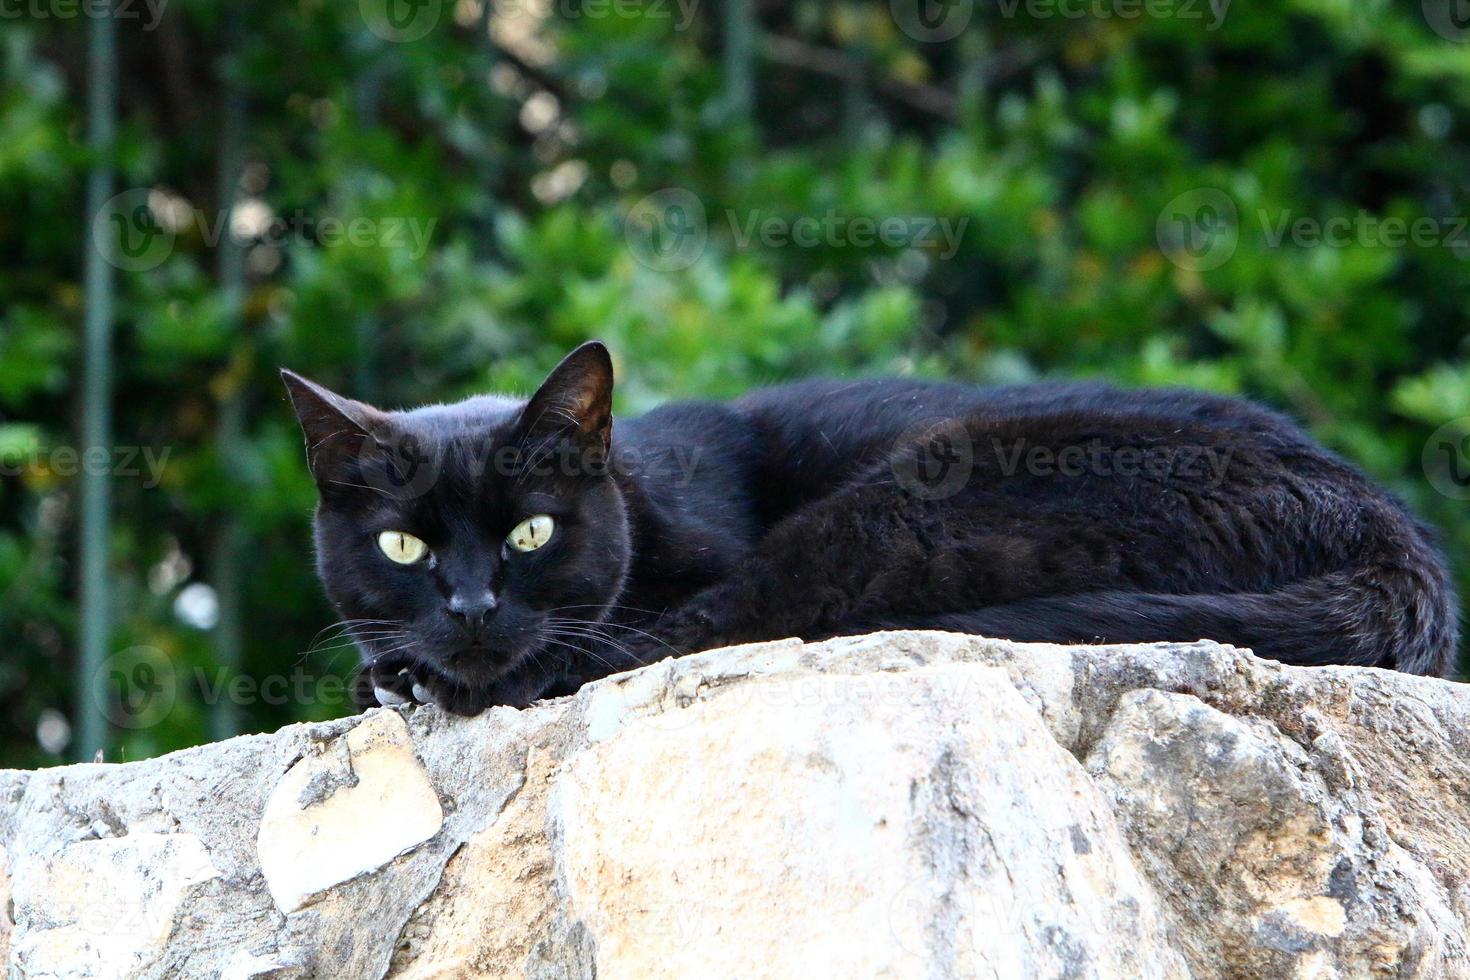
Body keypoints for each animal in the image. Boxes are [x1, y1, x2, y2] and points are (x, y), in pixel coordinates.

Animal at [283, 340, 1458, 717]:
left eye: (529, 535)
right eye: (404, 548)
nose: (473, 608)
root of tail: (1394, 534)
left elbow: (642, 629)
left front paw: (421, 677)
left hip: (909, 496)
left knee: (716, 627)